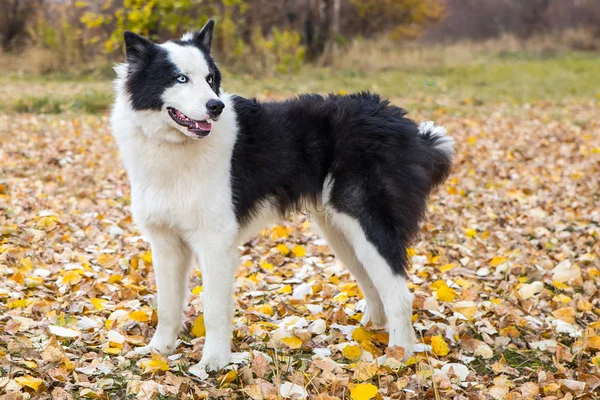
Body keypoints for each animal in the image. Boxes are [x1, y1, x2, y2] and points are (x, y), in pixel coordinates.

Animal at [110, 18, 452, 368]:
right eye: (180, 78)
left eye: (209, 80)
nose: (216, 106)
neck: (173, 147)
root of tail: (403, 124)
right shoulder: (165, 244)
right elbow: (166, 305)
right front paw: (158, 352)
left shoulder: (215, 241)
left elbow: (214, 310)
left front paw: (214, 362)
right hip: (342, 233)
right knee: (375, 288)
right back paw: (364, 337)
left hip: (367, 226)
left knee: (400, 295)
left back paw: (399, 358)